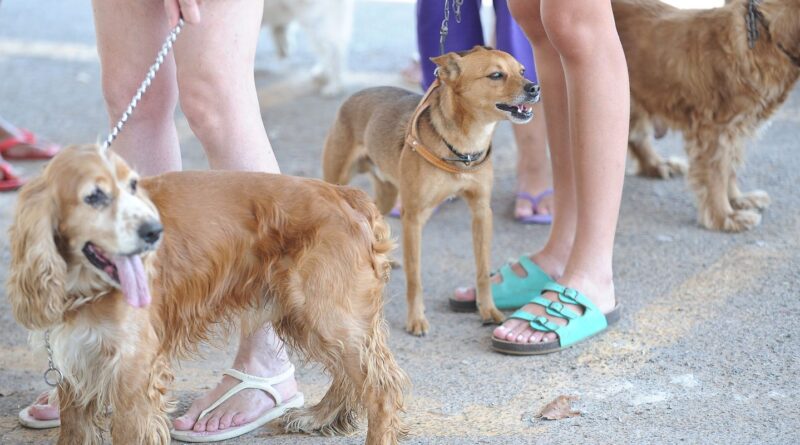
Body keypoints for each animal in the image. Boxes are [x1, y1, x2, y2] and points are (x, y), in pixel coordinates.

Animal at [10, 144, 412, 442]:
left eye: (133, 186)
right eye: (94, 196)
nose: (155, 232)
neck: (84, 284)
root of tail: (346, 195)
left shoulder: (134, 370)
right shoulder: (79, 361)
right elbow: (73, 429)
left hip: (324, 312)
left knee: (381, 388)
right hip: (308, 315)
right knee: (352, 376)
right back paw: (319, 416)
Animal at [322, 46, 540, 334]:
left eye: (522, 70)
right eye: (496, 75)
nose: (535, 87)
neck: (464, 146)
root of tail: (353, 97)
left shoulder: (481, 211)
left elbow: (482, 270)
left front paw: (488, 310)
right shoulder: (413, 218)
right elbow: (415, 277)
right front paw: (415, 319)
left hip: (388, 194)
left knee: (375, 219)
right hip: (338, 181)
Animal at [616, 0, 800, 231]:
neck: (765, 36)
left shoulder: (735, 130)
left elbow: (730, 168)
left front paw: (738, 200)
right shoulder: (714, 130)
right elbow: (717, 174)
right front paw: (725, 216)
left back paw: (657, 165)